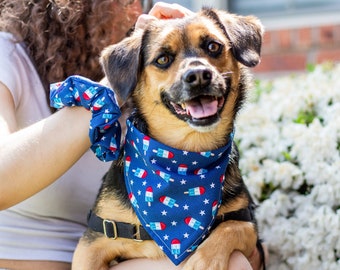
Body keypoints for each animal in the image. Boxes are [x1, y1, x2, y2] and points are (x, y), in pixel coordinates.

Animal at [72, 7, 266, 268]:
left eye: (213, 46)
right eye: (162, 59)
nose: (199, 75)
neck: (184, 157)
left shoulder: (249, 228)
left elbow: (231, 227)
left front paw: (203, 260)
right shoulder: (92, 242)